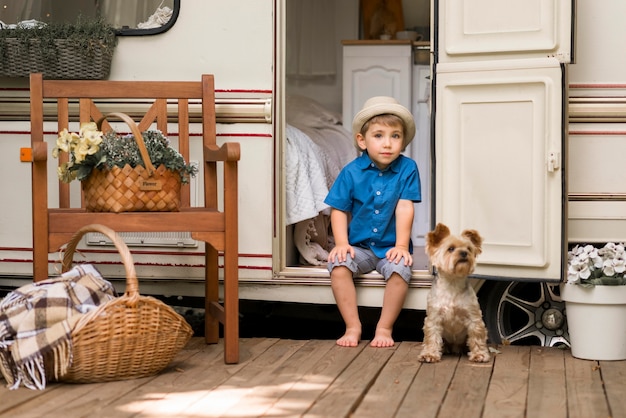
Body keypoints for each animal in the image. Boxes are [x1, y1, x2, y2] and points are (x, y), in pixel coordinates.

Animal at [416, 222, 490, 362]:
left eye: (469, 248)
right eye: (450, 248)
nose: (464, 253)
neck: (453, 282)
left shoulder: (473, 317)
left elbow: (476, 336)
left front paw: (479, 354)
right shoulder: (434, 318)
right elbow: (432, 337)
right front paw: (430, 354)